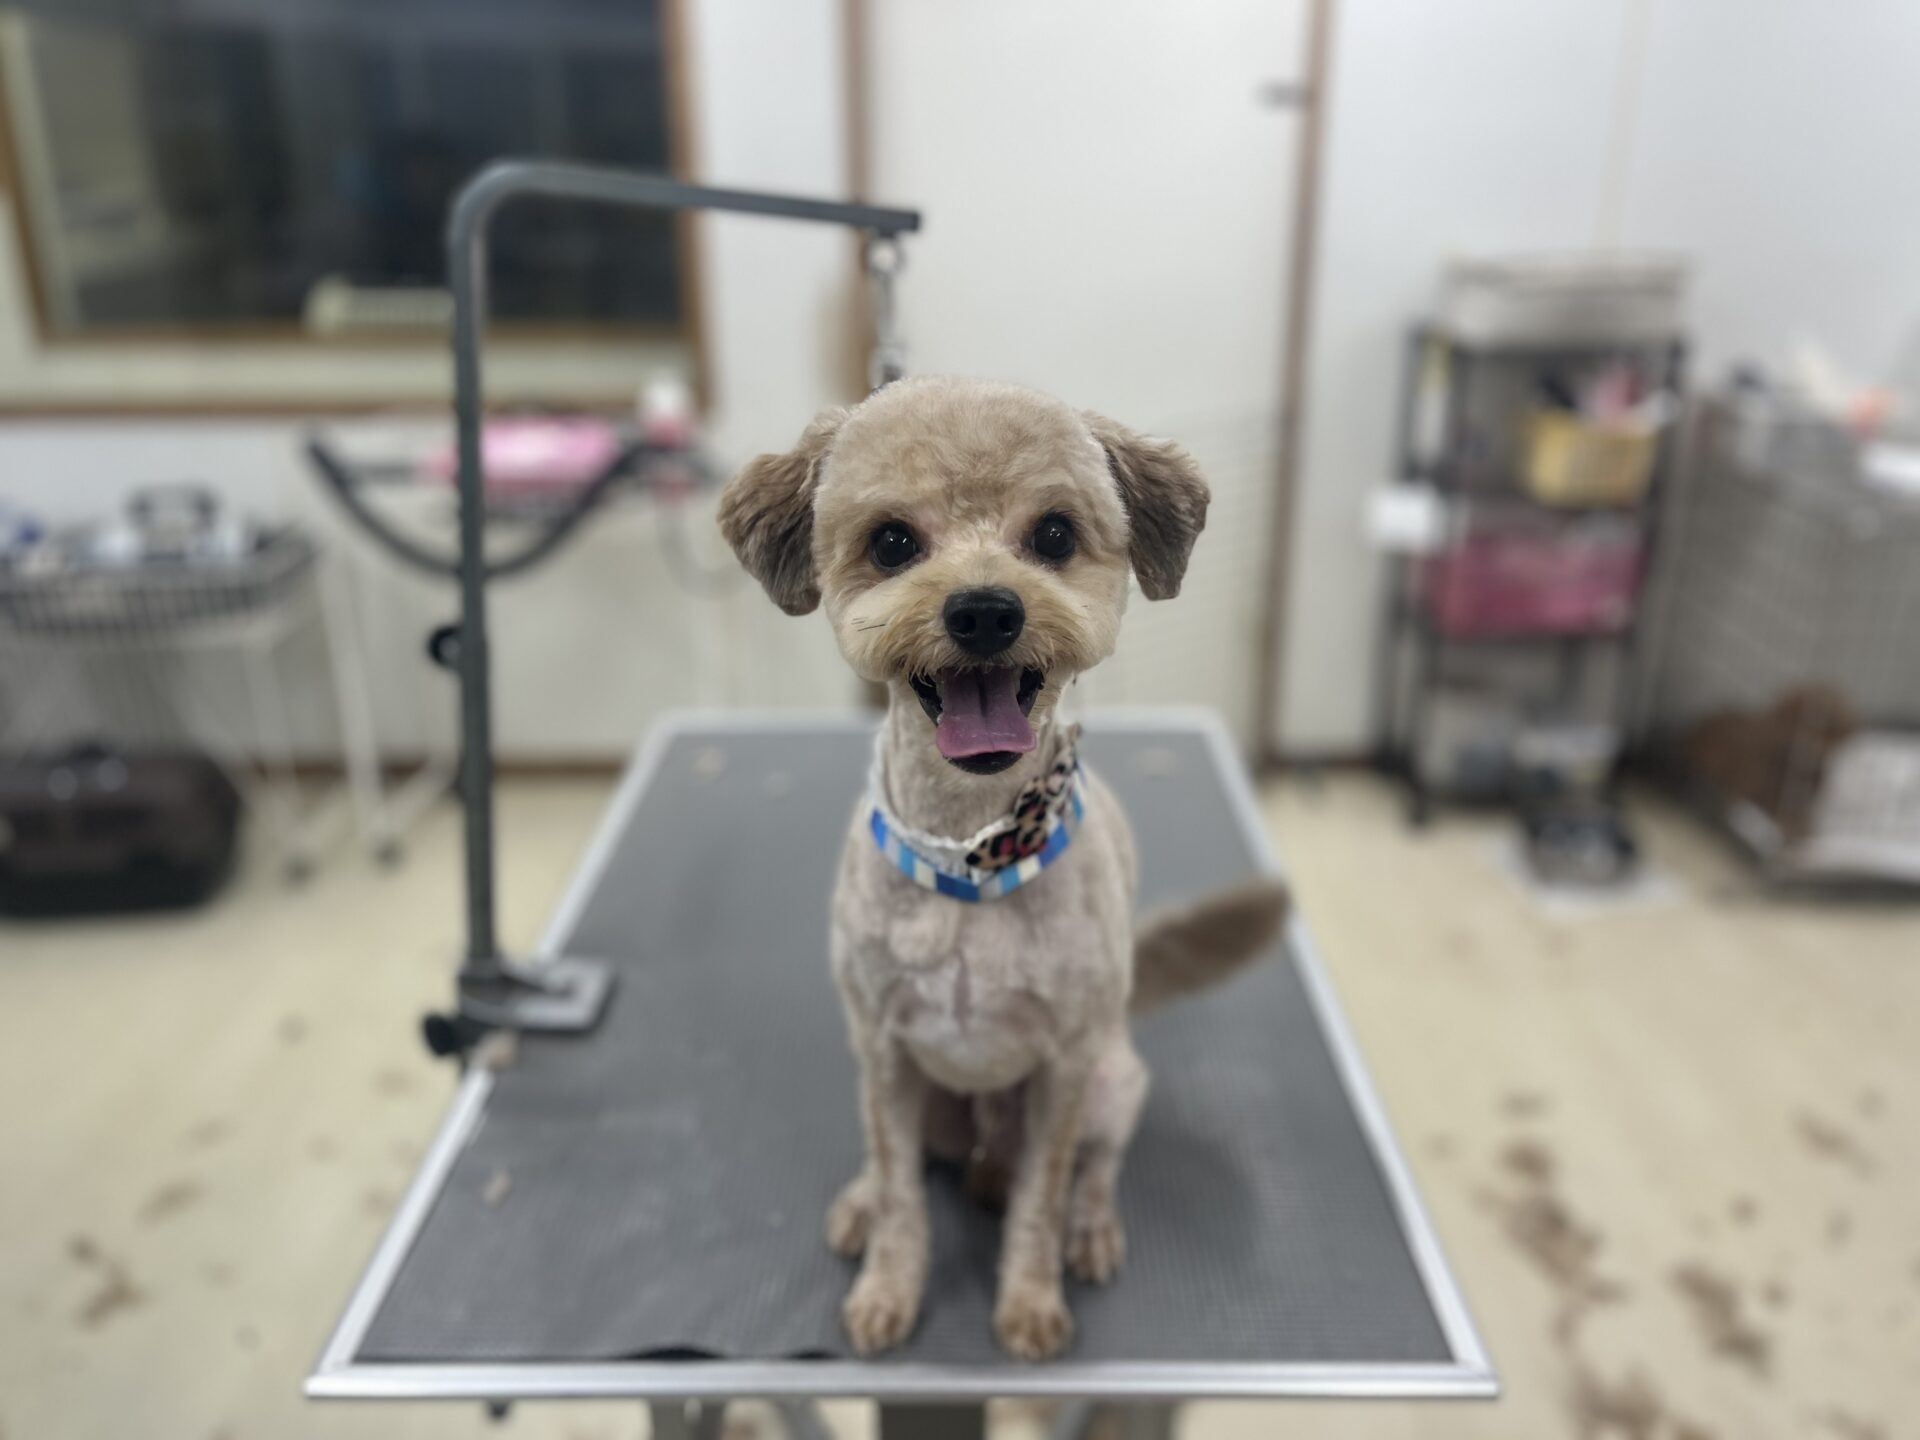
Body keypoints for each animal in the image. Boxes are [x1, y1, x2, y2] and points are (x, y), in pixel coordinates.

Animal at [720, 376, 1287, 1360]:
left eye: (1054, 534)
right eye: (892, 541)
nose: (984, 610)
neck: (977, 857)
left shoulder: (1064, 1070)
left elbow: (1039, 1198)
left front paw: (1029, 1299)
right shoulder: (883, 1050)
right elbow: (903, 1191)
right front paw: (889, 1287)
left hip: (1113, 1082)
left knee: (1086, 1170)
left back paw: (1088, 1228)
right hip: (915, 1091)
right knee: (901, 1161)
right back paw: (865, 1203)